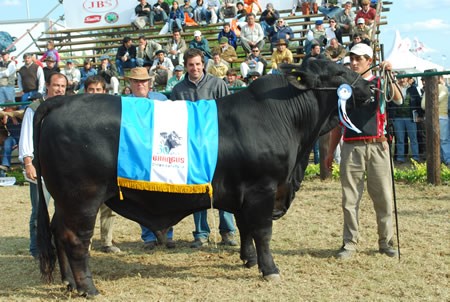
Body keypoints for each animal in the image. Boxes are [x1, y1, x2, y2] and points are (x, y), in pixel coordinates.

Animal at [35, 60, 372, 294]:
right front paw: (269, 268)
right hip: (83, 197)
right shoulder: (263, 189)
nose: (370, 88)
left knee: (56, 231)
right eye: (339, 73)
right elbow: (262, 231)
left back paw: (68, 282)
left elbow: (245, 228)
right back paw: (88, 288)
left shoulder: (245, 194)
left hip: (64, 199)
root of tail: (61, 100)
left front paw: (248, 259)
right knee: (76, 239)